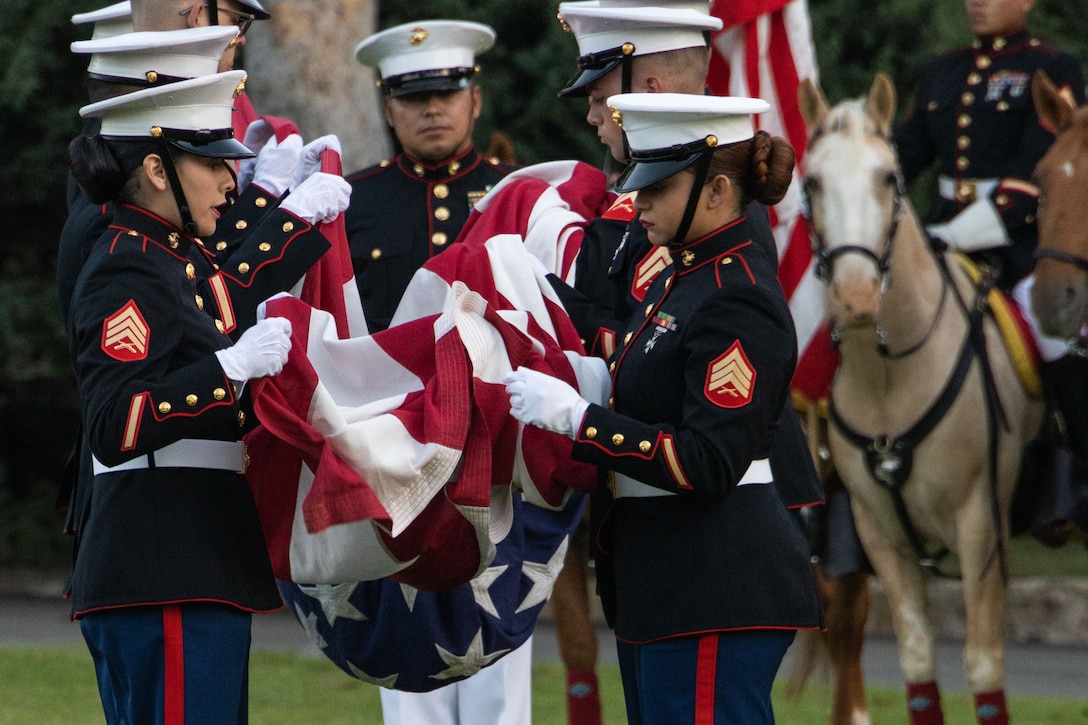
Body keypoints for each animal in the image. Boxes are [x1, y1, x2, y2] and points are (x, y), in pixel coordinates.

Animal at [800, 74, 1044, 722]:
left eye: (889, 176)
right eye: (812, 182)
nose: (857, 297)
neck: (892, 379)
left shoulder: (982, 527)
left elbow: (984, 668)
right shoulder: (878, 533)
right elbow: (916, 666)